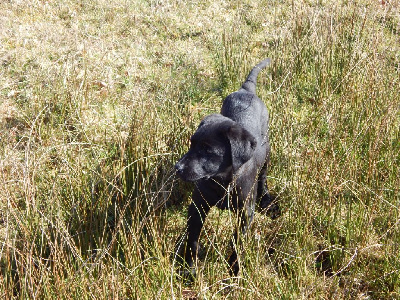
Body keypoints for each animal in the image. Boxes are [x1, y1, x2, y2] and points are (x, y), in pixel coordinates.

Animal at [175, 58, 278, 278]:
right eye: (191, 144)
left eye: (207, 150)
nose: (177, 167)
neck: (223, 181)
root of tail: (246, 89)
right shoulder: (197, 208)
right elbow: (192, 240)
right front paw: (190, 269)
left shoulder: (245, 214)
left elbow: (237, 244)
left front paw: (234, 272)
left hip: (267, 151)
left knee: (263, 176)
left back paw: (267, 199)